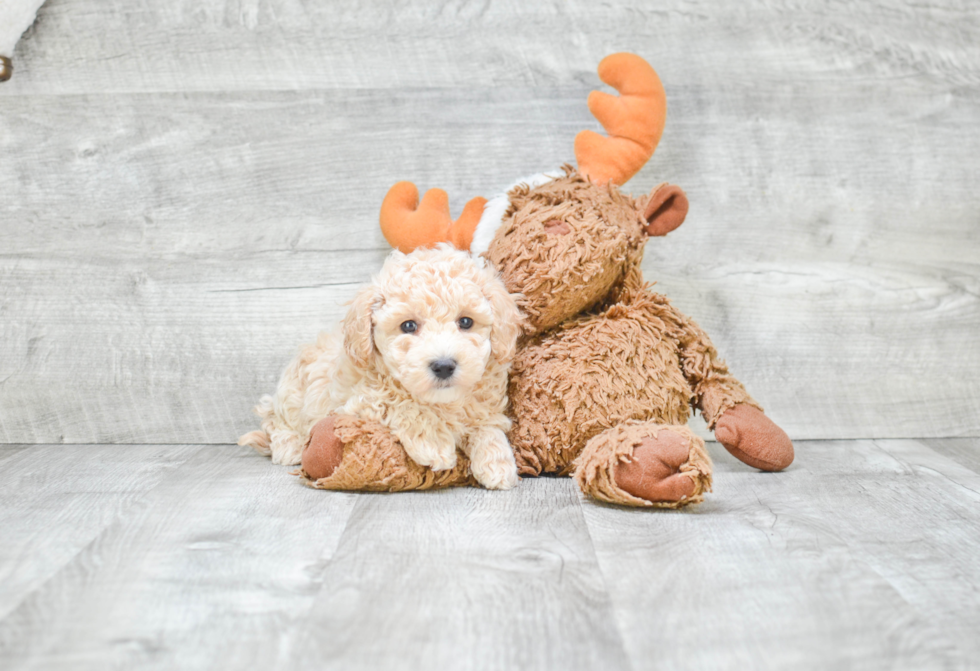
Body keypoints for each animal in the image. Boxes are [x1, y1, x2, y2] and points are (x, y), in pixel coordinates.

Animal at [238, 244, 524, 490]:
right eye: (408, 326)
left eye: (466, 322)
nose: (443, 366)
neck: (439, 402)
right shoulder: (355, 403)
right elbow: (402, 405)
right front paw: (434, 444)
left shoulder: (481, 406)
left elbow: (487, 426)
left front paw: (498, 463)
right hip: (291, 393)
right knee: (274, 420)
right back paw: (289, 446)